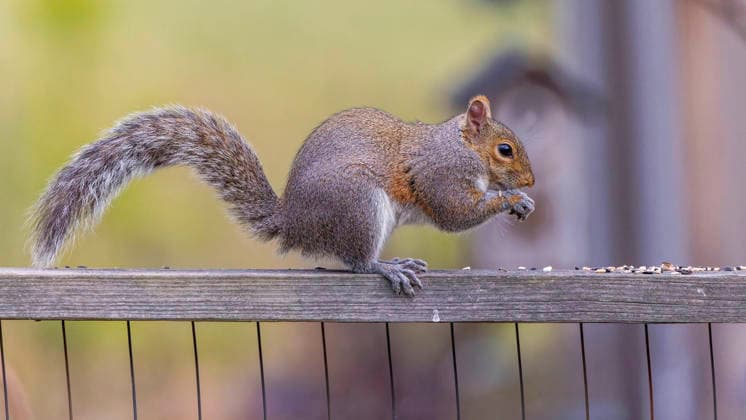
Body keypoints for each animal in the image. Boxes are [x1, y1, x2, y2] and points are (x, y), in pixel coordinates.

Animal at [30, 95, 535, 296]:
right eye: (505, 150)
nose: (530, 182)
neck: (459, 147)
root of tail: (293, 223)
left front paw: (522, 202)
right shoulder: (439, 176)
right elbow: (454, 214)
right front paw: (509, 200)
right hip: (359, 205)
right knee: (356, 261)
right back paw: (387, 267)